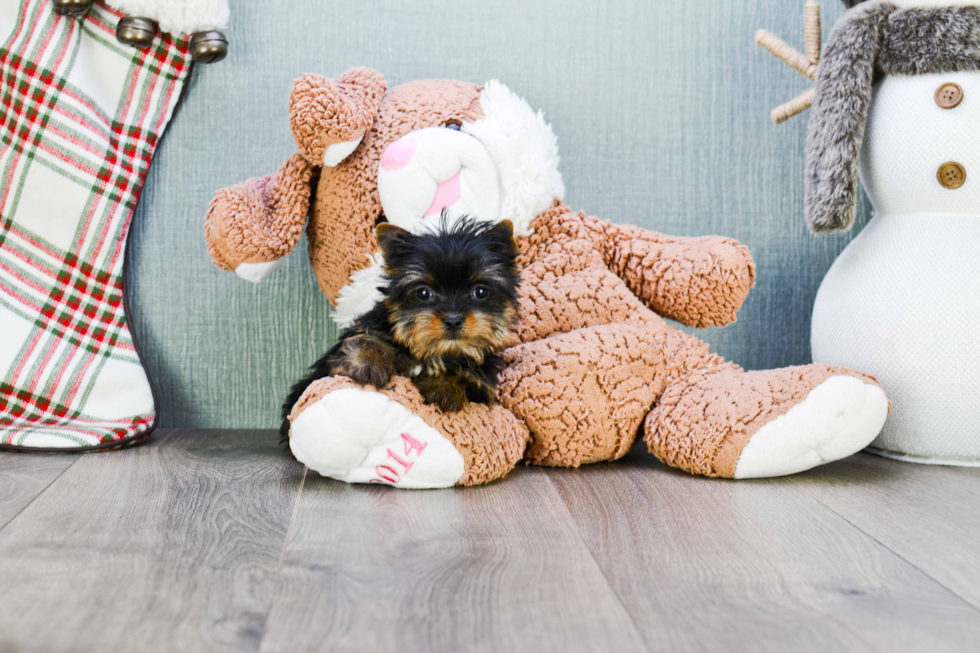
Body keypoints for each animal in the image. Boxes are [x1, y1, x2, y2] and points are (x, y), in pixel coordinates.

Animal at [282, 218, 520, 438]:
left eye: (480, 292)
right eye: (423, 293)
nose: (453, 320)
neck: (433, 351)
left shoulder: (482, 385)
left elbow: (465, 376)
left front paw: (444, 386)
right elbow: (364, 338)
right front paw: (368, 362)